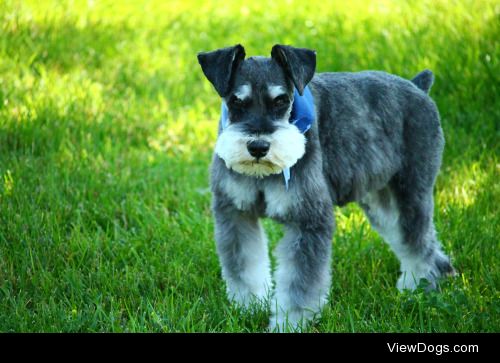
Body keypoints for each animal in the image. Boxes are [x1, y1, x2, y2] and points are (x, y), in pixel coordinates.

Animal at [197, 44, 456, 332]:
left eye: (282, 101)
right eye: (236, 101)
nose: (258, 147)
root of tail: (417, 87)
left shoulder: (308, 221)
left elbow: (300, 284)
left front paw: (290, 323)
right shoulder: (235, 213)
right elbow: (243, 267)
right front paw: (248, 306)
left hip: (410, 192)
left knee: (418, 242)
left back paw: (418, 288)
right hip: (380, 201)